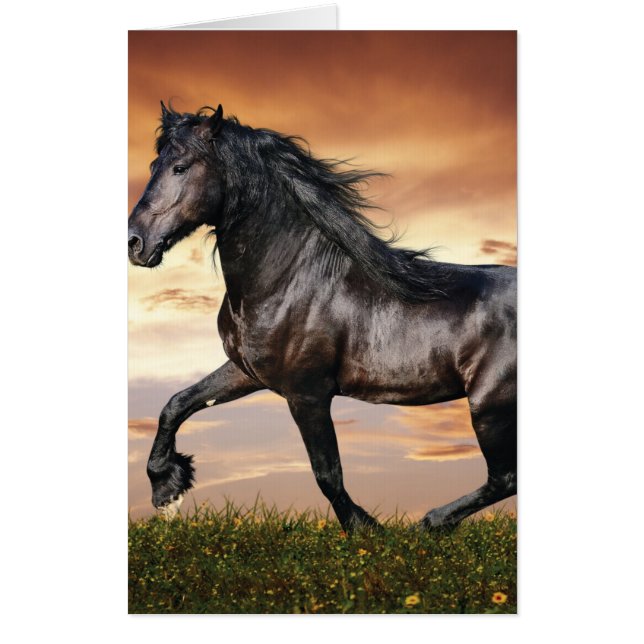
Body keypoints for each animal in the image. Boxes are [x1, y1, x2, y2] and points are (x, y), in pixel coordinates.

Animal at [128, 103, 517, 530]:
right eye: (153, 165)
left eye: (180, 167)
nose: (134, 242)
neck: (290, 279)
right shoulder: (246, 372)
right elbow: (176, 404)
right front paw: (167, 489)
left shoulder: (308, 393)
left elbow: (327, 473)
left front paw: (365, 528)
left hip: (489, 405)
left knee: (504, 478)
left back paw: (430, 523)